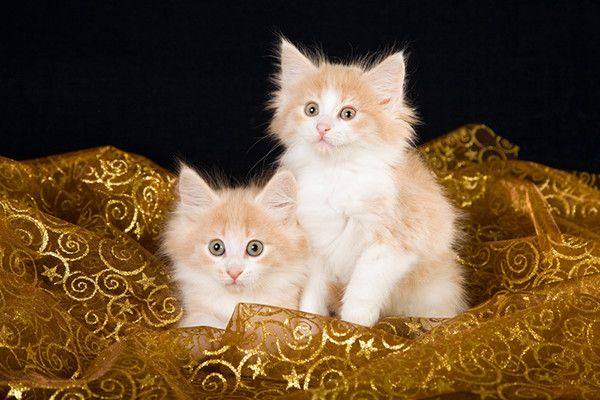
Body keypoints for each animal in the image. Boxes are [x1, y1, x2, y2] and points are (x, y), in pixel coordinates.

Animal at [159, 164, 310, 330]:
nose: (234, 272)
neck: (236, 301)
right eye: (216, 247)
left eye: (255, 248)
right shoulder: (193, 313)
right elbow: (203, 321)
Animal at [268, 37, 468, 326]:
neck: (336, 174)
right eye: (311, 110)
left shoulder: (392, 243)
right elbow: (312, 293)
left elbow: (362, 291)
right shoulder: (315, 243)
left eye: (348, 114)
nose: (322, 127)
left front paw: (355, 329)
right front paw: (309, 324)